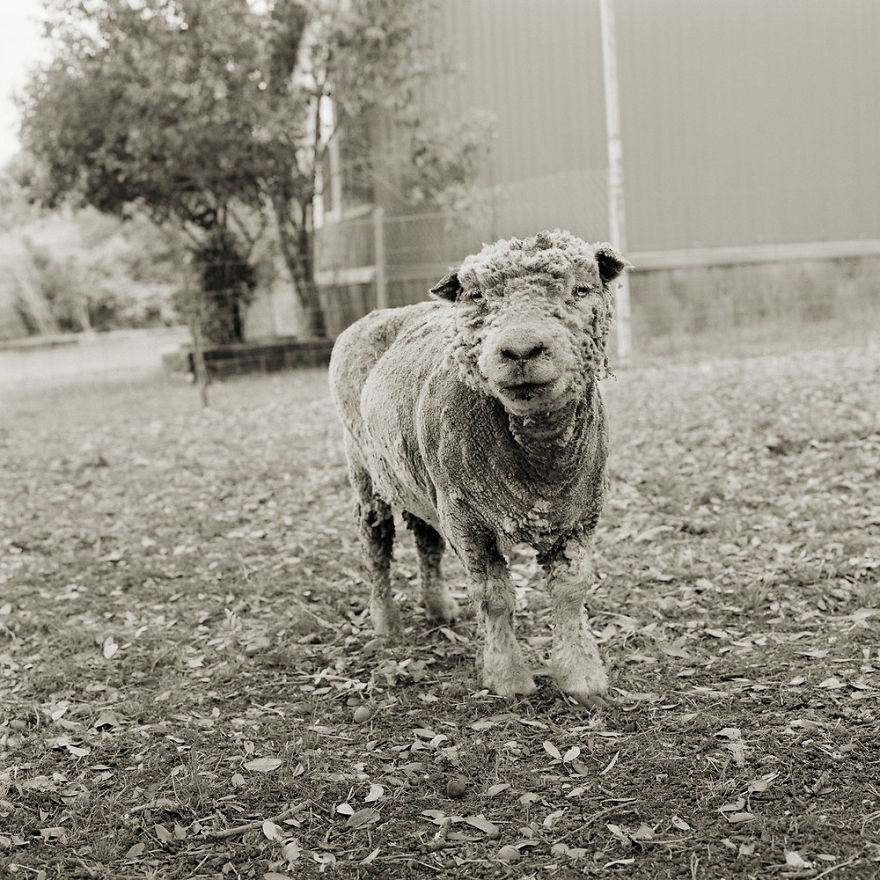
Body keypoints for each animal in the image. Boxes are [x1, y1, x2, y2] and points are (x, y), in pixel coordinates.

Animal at [329, 230, 630, 705]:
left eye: (581, 289)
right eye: (476, 297)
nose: (521, 350)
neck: (539, 464)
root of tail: (385, 312)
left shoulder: (579, 514)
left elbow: (571, 591)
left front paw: (582, 677)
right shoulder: (468, 521)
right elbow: (494, 598)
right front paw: (507, 678)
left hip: (421, 480)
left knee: (426, 540)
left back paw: (439, 608)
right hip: (363, 467)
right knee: (376, 541)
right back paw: (387, 623)